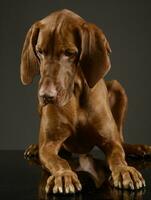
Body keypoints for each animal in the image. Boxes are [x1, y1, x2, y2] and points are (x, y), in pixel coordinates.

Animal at [20, 9, 151, 194]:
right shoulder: (49, 145)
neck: (75, 93)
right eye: (39, 51)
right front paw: (64, 175)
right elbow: (59, 161)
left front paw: (125, 171)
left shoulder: (110, 141)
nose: (46, 95)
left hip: (118, 88)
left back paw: (138, 148)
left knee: (122, 140)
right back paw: (34, 147)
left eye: (69, 53)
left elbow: (118, 156)